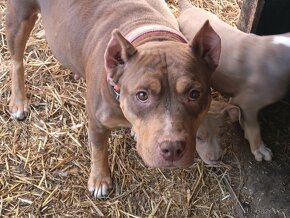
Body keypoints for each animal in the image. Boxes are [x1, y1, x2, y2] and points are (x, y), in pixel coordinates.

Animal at [5, 0, 221, 198]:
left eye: (194, 93)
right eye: (142, 95)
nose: (173, 148)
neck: (150, 34)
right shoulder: (97, 123)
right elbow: (99, 149)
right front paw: (99, 180)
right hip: (19, 19)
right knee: (16, 61)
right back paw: (18, 101)